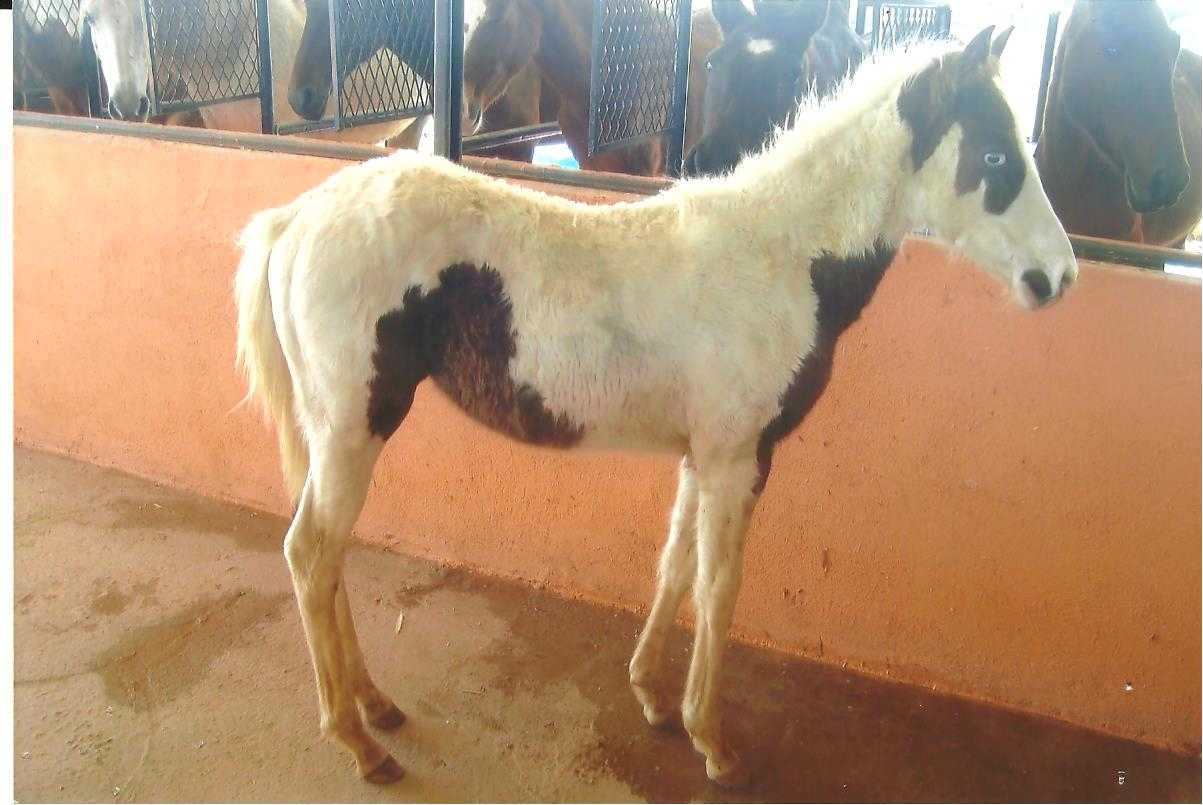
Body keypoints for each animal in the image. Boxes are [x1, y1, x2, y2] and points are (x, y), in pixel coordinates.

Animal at [235, 26, 1076, 787]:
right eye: (995, 156)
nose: (1056, 277)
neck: (780, 257)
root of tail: (296, 218)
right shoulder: (738, 457)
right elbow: (718, 584)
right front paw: (714, 742)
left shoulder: (700, 454)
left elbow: (673, 564)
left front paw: (652, 696)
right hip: (355, 427)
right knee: (309, 552)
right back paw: (358, 740)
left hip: (332, 430)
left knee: (327, 556)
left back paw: (375, 704)